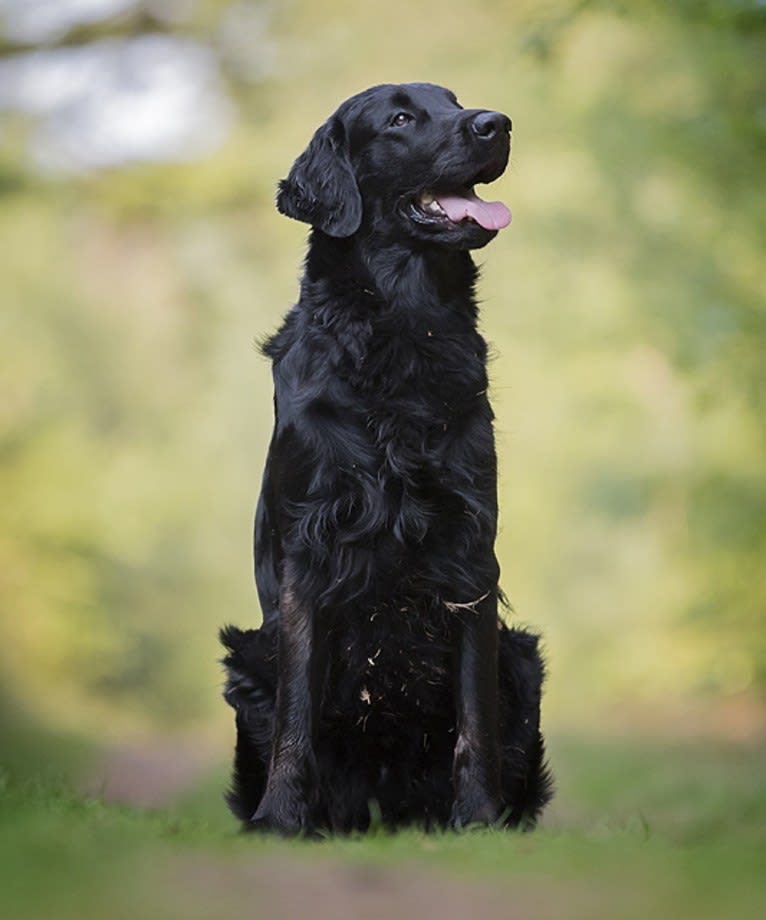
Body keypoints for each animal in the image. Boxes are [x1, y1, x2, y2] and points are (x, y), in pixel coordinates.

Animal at [222, 82, 552, 836]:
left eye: (455, 101)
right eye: (400, 118)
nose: (497, 124)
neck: (404, 330)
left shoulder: (469, 549)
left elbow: (474, 717)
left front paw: (478, 819)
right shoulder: (310, 548)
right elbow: (295, 717)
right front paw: (279, 820)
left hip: (521, 655)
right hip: (247, 651)